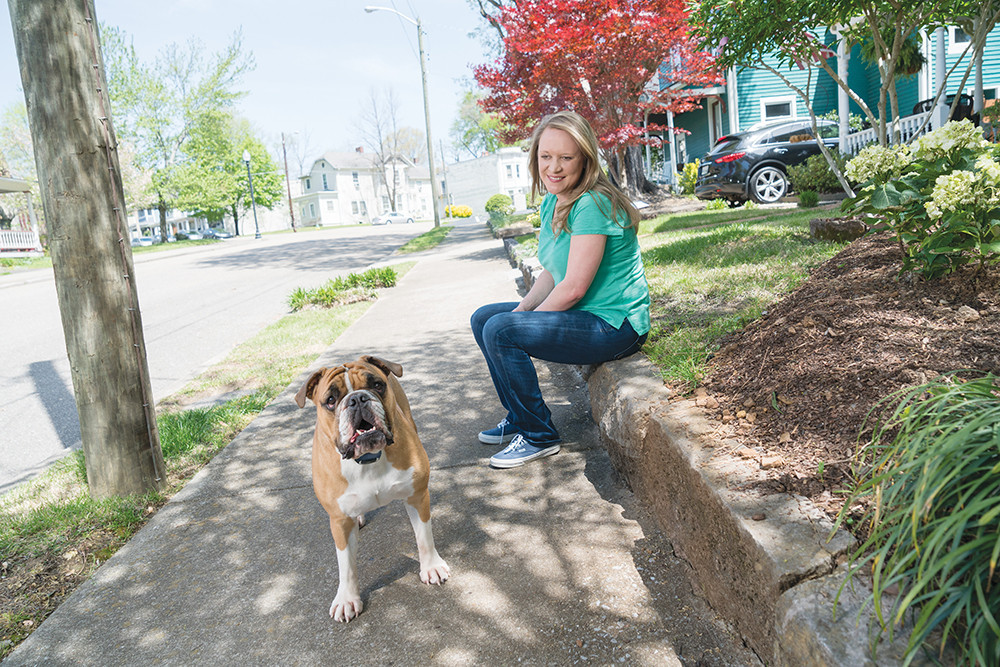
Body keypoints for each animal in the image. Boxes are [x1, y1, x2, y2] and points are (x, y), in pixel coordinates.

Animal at [292, 358, 450, 624]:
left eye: (377, 385)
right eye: (330, 400)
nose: (357, 399)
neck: (367, 458)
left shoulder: (416, 496)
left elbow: (424, 537)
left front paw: (431, 566)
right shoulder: (339, 520)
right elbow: (346, 564)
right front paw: (347, 598)